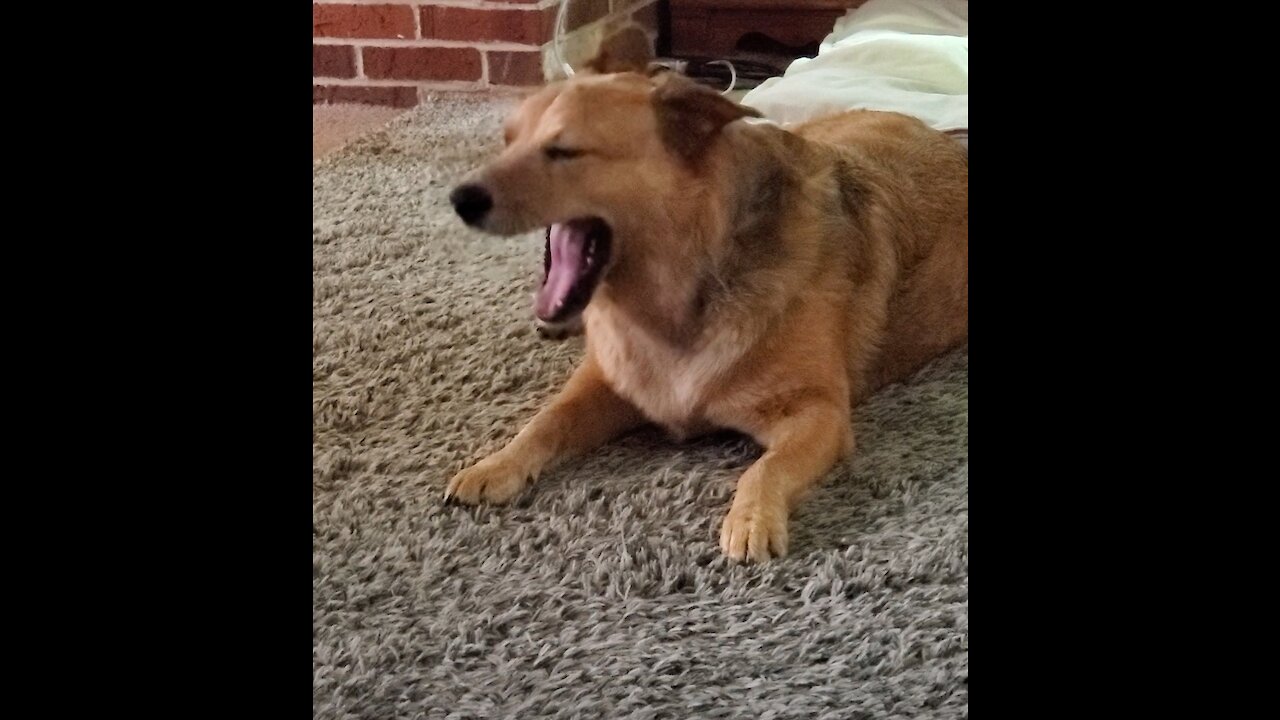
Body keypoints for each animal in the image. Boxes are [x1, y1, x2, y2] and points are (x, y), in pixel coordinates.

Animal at [445, 33, 962, 561]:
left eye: (564, 150)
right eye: (507, 142)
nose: (459, 199)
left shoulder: (820, 415)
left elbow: (765, 469)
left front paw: (752, 518)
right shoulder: (604, 384)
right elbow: (545, 422)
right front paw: (496, 464)